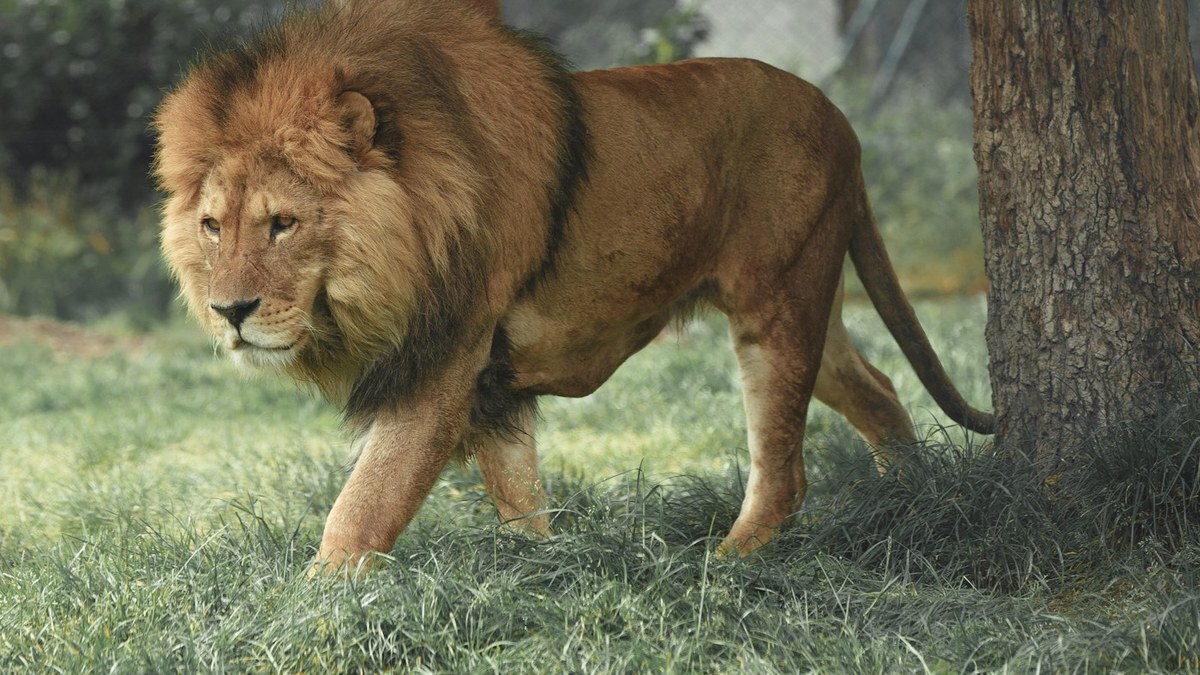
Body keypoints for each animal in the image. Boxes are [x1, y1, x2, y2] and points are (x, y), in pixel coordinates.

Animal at [154, 0, 993, 571]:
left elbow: (367, 501)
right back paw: (913, 501)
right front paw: (543, 567)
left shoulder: (445, 359)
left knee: (784, 468)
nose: (230, 311)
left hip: (776, 303)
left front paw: (315, 600)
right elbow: (518, 491)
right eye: (211, 226)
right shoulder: (489, 381)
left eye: (282, 224)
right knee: (877, 386)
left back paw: (721, 567)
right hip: (807, 296)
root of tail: (841, 120)